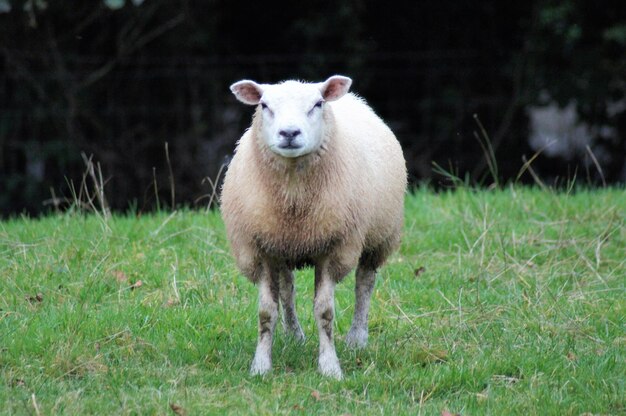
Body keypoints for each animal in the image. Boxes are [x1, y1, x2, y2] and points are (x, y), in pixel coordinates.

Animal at [219, 75, 404, 380]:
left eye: (317, 104)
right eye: (264, 105)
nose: (289, 133)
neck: (295, 201)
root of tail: (354, 100)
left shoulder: (334, 247)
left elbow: (325, 312)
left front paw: (330, 367)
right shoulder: (260, 249)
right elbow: (266, 312)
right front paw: (261, 366)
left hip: (379, 238)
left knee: (364, 284)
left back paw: (357, 337)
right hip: (282, 246)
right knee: (287, 290)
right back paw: (294, 335)